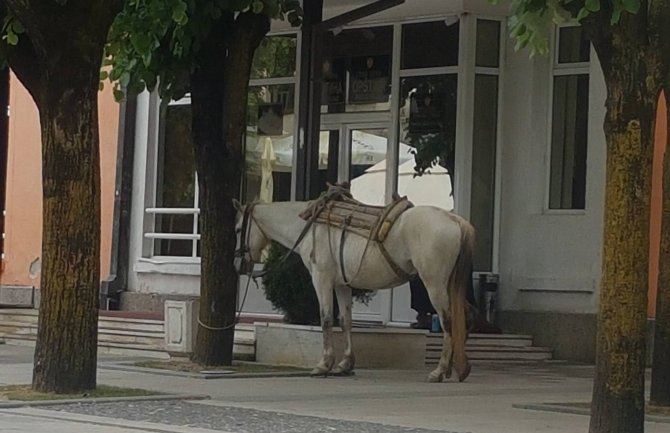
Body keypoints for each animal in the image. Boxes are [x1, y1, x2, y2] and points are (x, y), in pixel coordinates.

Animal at [234, 197, 476, 380]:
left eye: (237, 229)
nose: (238, 265)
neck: (311, 226)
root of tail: (454, 219)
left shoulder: (322, 279)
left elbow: (326, 319)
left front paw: (324, 364)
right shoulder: (342, 285)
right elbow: (345, 321)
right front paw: (345, 364)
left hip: (434, 283)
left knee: (447, 320)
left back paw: (440, 370)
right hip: (449, 284)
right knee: (464, 315)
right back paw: (460, 368)